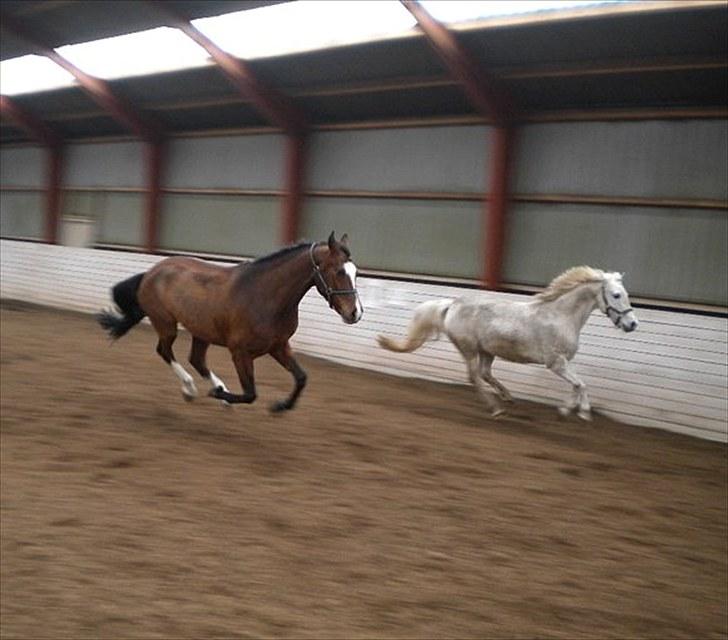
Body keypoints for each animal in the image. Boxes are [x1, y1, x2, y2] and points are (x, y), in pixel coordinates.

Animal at [96, 232, 364, 412]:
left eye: (356, 272)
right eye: (339, 271)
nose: (355, 313)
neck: (267, 296)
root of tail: (151, 272)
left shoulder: (278, 346)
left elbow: (301, 378)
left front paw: (280, 406)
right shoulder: (240, 352)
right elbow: (250, 394)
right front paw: (219, 394)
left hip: (201, 332)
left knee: (197, 360)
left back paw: (216, 389)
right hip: (166, 324)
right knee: (165, 351)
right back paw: (191, 389)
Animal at [378, 264, 640, 420]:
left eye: (626, 294)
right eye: (616, 295)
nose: (632, 324)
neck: (561, 316)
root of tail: (452, 304)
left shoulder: (564, 362)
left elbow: (577, 385)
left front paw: (566, 409)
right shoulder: (555, 363)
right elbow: (581, 384)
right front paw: (583, 412)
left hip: (486, 351)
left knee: (485, 374)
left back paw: (508, 397)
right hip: (469, 349)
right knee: (474, 377)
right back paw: (496, 408)